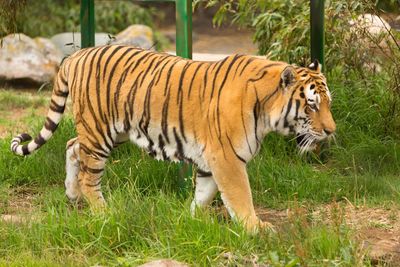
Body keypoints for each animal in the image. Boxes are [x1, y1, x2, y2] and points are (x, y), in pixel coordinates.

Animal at [10, 45, 334, 232]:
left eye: (328, 103)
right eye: (311, 105)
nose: (331, 131)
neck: (266, 111)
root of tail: (77, 55)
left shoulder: (211, 159)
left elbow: (204, 194)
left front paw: (191, 219)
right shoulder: (227, 158)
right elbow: (240, 195)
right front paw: (256, 228)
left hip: (113, 131)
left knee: (71, 146)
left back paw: (72, 193)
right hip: (99, 130)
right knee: (89, 175)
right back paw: (102, 212)